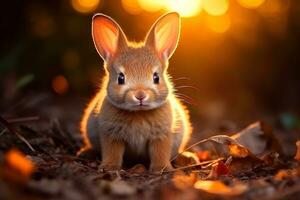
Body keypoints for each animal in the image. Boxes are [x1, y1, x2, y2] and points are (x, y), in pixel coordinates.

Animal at [78, 11, 192, 171]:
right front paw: (109, 167)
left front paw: (161, 168)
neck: (139, 113)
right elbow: (112, 152)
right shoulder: (111, 135)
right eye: (121, 78)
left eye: (156, 77)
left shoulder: (161, 137)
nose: (140, 96)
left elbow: (160, 152)